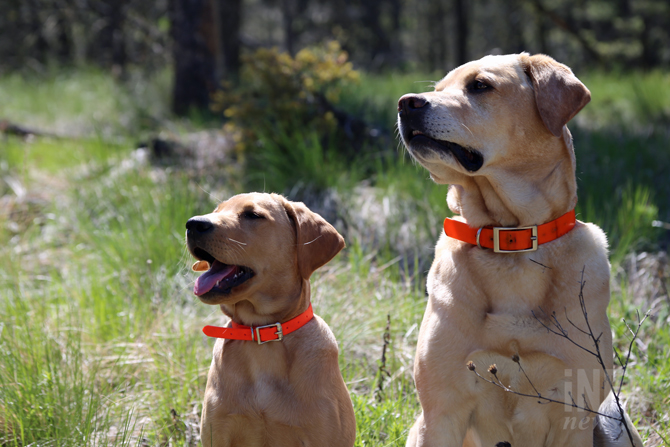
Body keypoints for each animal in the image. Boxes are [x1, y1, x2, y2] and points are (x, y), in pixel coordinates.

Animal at [396, 54, 644, 447]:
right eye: (439, 89)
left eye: (480, 85)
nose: (406, 103)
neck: (511, 234)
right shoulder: (440, 414)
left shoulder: (573, 415)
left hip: (613, 420)